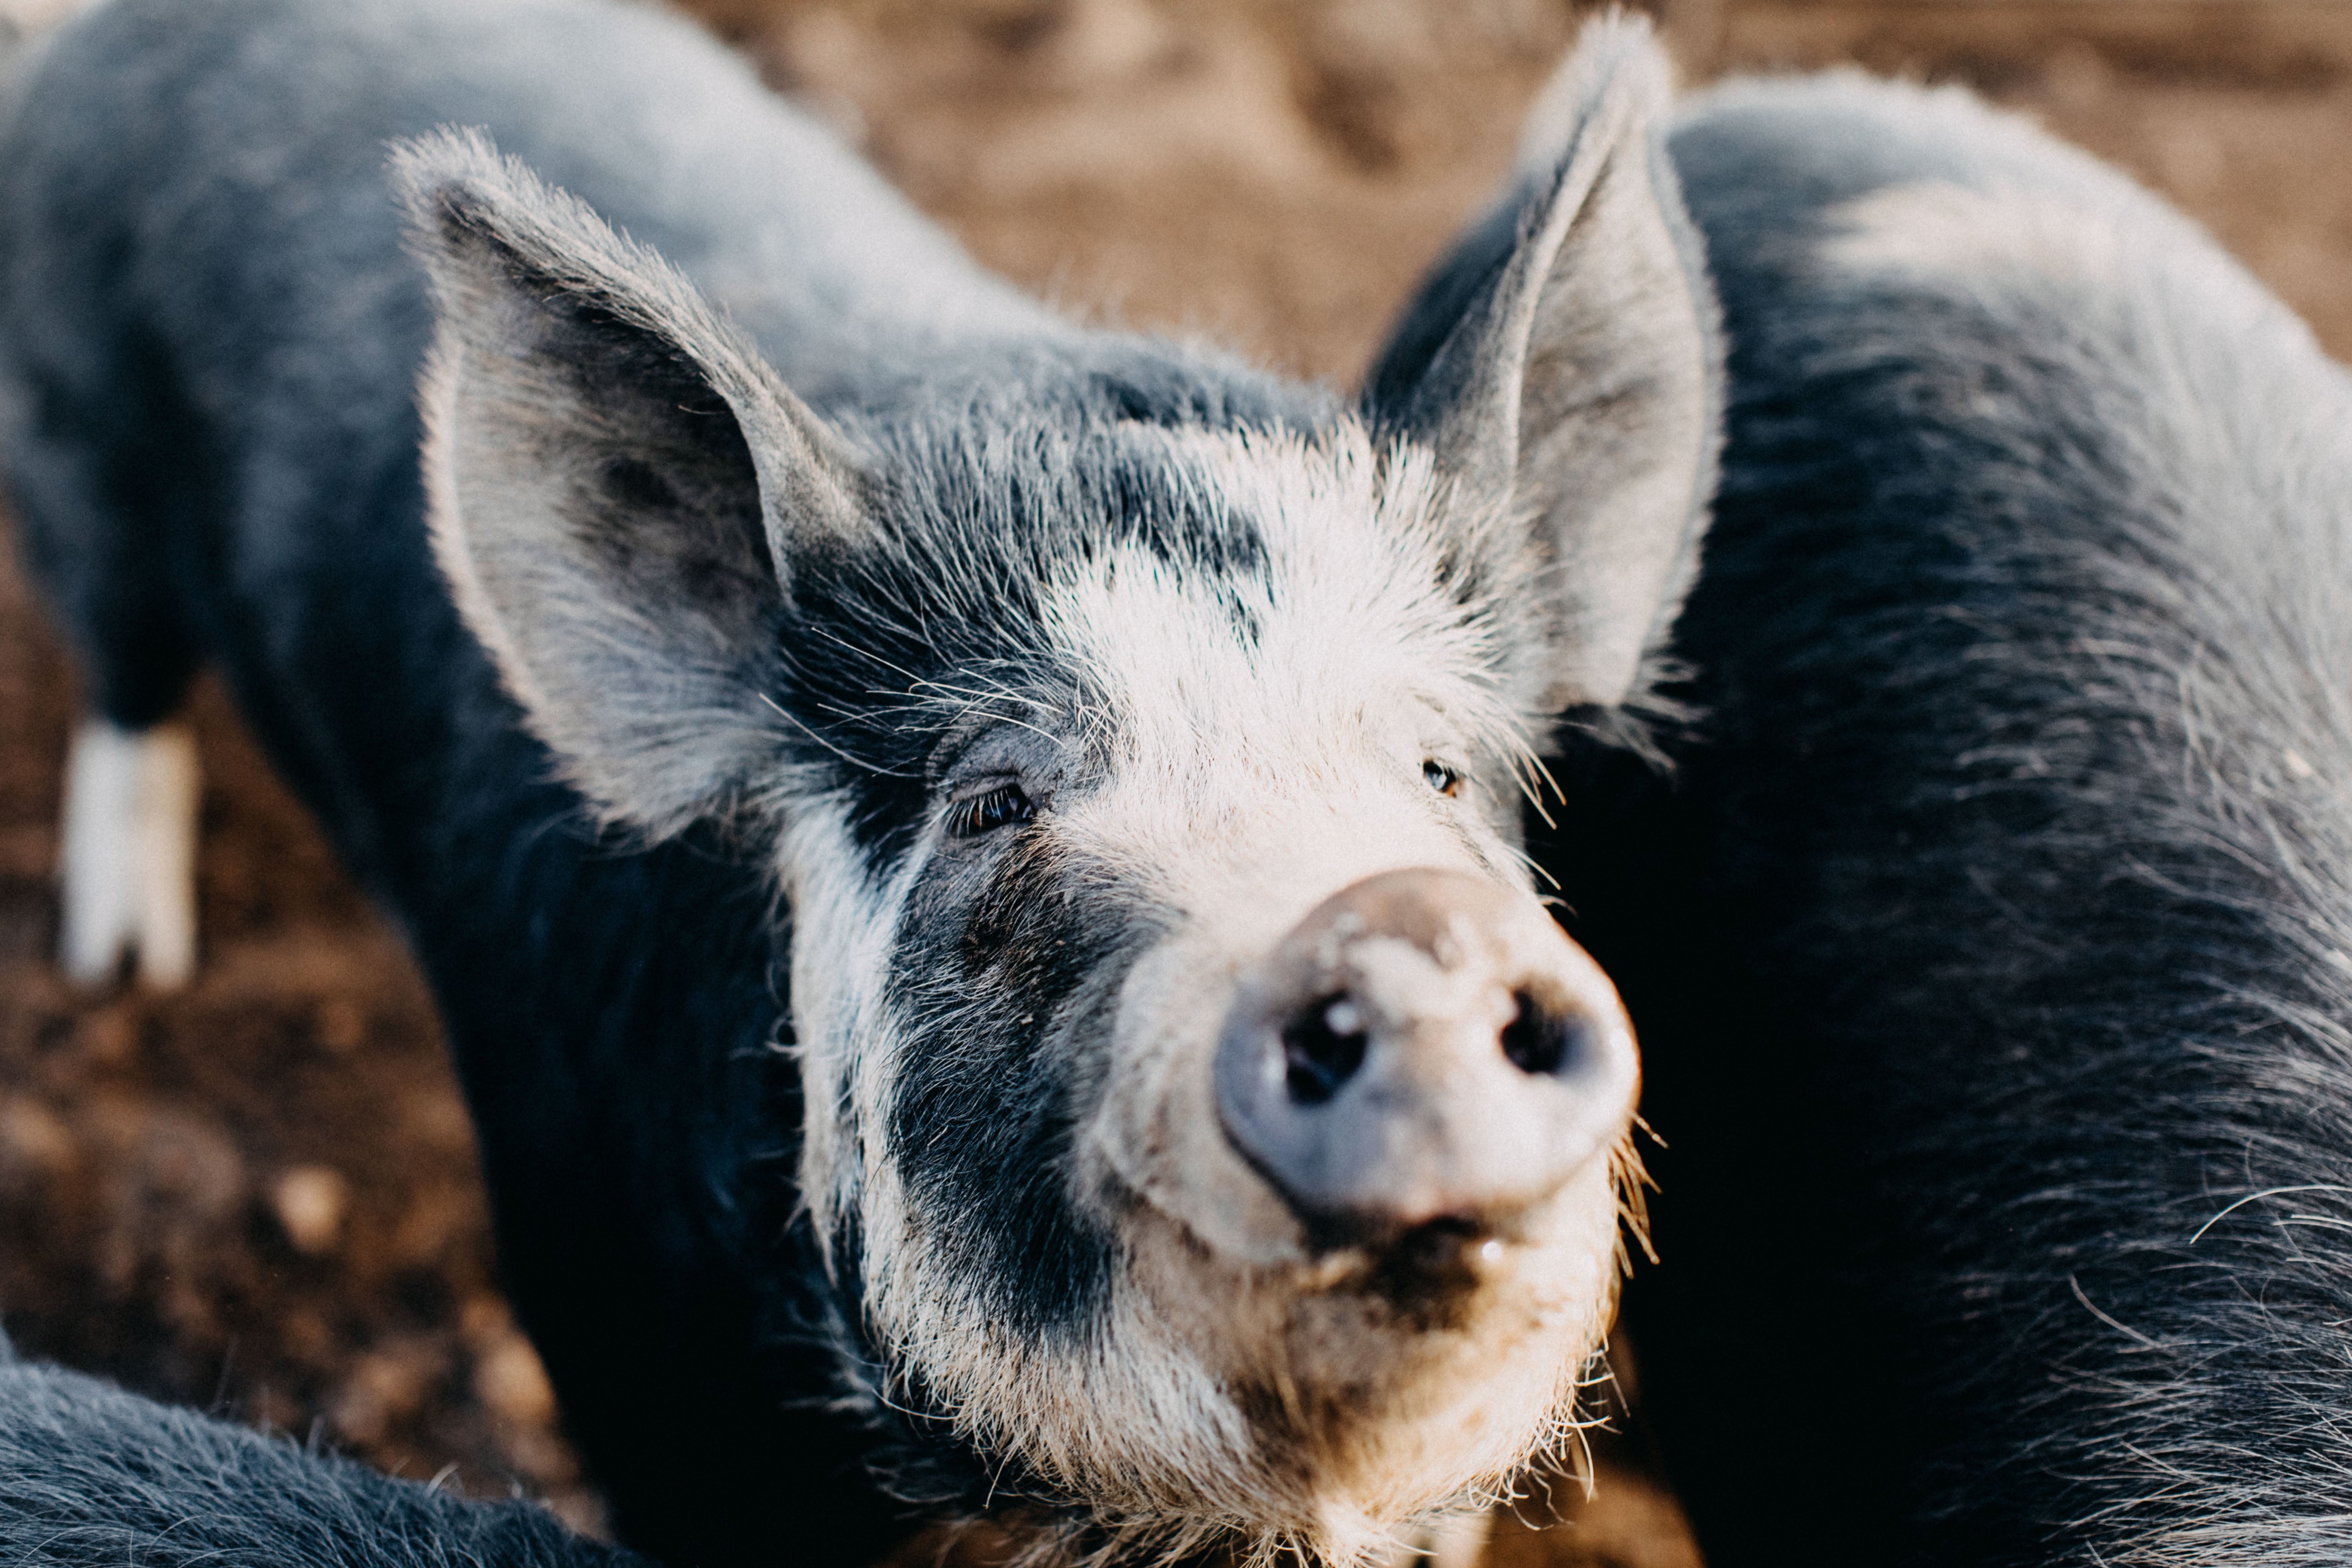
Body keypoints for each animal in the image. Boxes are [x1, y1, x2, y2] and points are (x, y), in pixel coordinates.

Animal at [0, 2, 1721, 1563]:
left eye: (1439, 767)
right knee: (125, 672)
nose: (1407, 923)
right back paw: (125, 957)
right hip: (78, 438)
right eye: (993, 801)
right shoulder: (611, 1325)